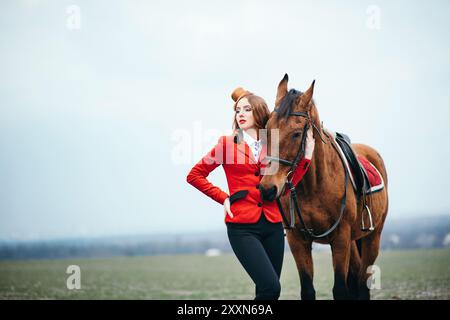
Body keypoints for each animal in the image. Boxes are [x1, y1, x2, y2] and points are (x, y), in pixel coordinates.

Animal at [258, 75, 388, 300]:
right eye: (267, 129)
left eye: (296, 133)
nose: (268, 188)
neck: (314, 186)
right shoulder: (297, 240)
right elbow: (308, 289)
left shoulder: (341, 238)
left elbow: (341, 289)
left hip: (373, 238)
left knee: (362, 285)